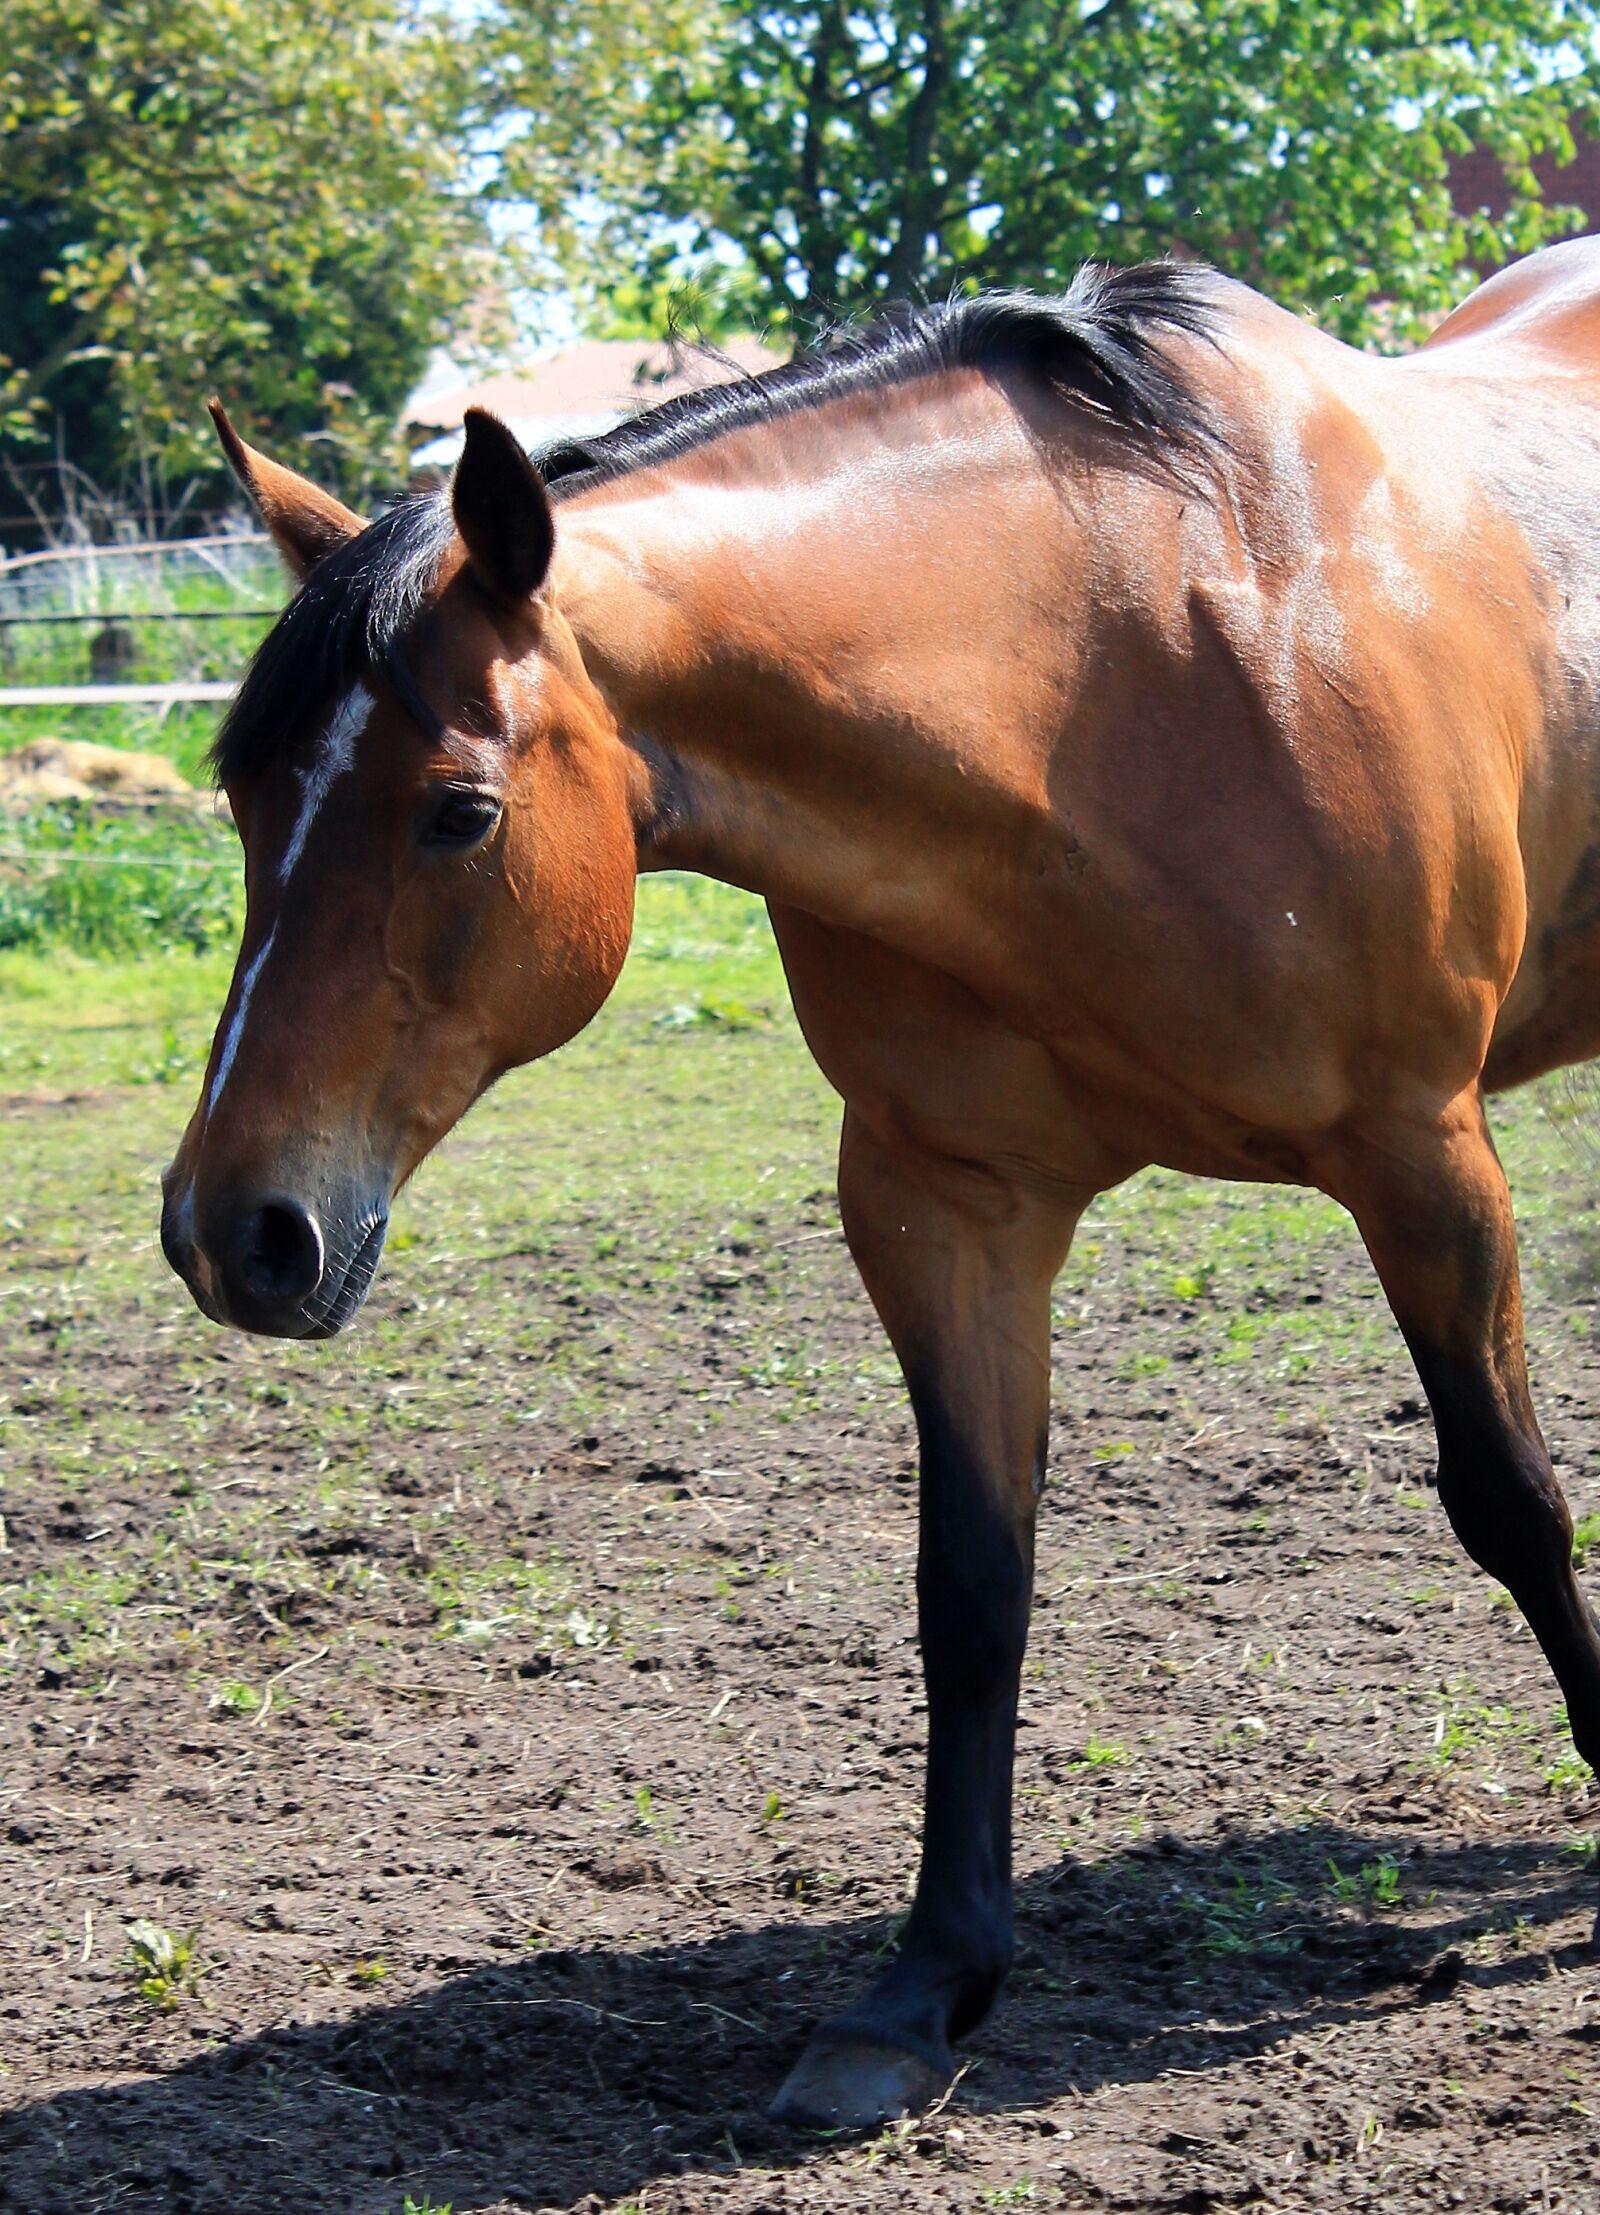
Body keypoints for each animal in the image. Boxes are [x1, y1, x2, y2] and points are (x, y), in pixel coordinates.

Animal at [161, 242, 1595, 2126]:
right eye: (244, 790)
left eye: (458, 811)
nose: (231, 1232)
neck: (1107, 685)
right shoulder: (943, 1203)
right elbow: (970, 1582)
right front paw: (922, 1989)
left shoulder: (1422, 1156)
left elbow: (1510, 1500)